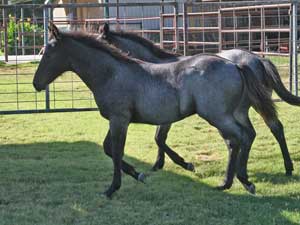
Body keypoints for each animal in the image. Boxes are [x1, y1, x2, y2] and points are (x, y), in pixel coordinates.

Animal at [32, 22, 276, 198]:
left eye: (48, 53)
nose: (36, 84)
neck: (111, 73)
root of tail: (236, 65)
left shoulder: (119, 120)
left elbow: (118, 151)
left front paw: (112, 188)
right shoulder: (117, 119)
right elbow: (109, 148)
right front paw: (139, 174)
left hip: (218, 116)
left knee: (242, 137)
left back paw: (243, 181)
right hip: (232, 114)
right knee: (243, 137)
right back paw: (229, 182)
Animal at [98, 22, 298, 177]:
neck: (153, 69)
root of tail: (257, 59)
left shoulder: (166, 116)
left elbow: (159, 138)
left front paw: (184, 164)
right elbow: (159, 138)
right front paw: (158, 164)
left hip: (251, 106)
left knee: (270, 129)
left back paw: (285, 168)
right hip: (240, 110)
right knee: (257, 131)